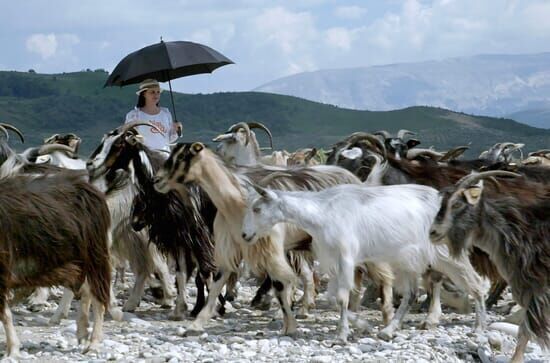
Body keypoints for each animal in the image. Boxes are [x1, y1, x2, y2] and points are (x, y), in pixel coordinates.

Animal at [242, 183, 488, 342]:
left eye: (257, 208)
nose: (245, 235)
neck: (322, 212)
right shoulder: (334, 263)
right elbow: (333, 299)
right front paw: (362, 325)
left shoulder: (346, 259)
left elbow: (342, 298)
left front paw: (342, 335)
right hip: (405, 260)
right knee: (411, 294)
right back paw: (388, 331)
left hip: (444, 254)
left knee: (475, 284)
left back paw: (478, 329)